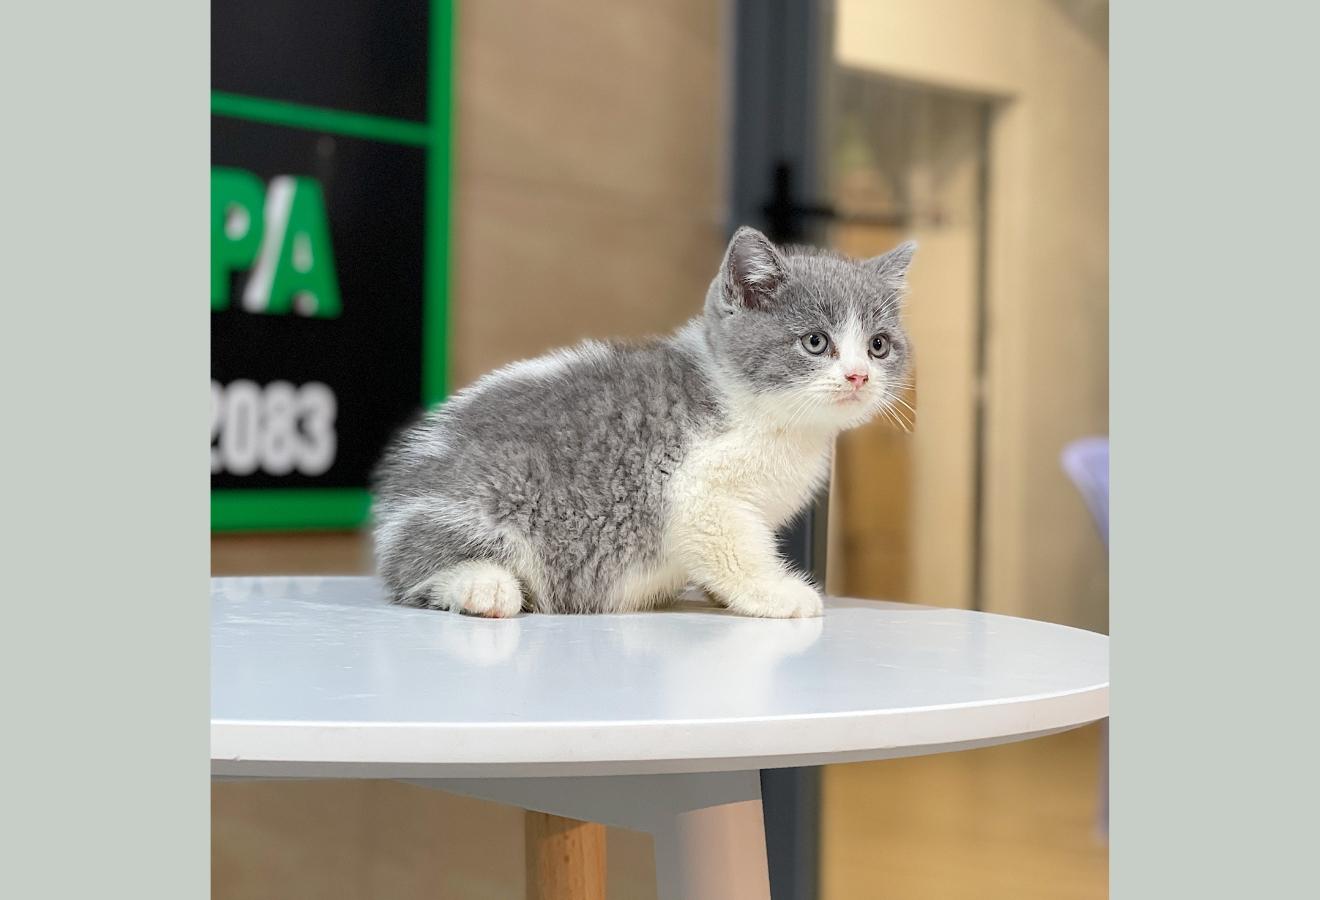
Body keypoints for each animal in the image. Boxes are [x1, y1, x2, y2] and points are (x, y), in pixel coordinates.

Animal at [371, 226, 915, 618]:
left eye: (878, 345)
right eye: (816, 342)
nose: (859, 375)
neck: (772, 417)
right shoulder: (698, 488)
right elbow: (733, 546)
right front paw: (776, 592)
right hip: (480, 500)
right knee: (414, 571)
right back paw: (482, 586)